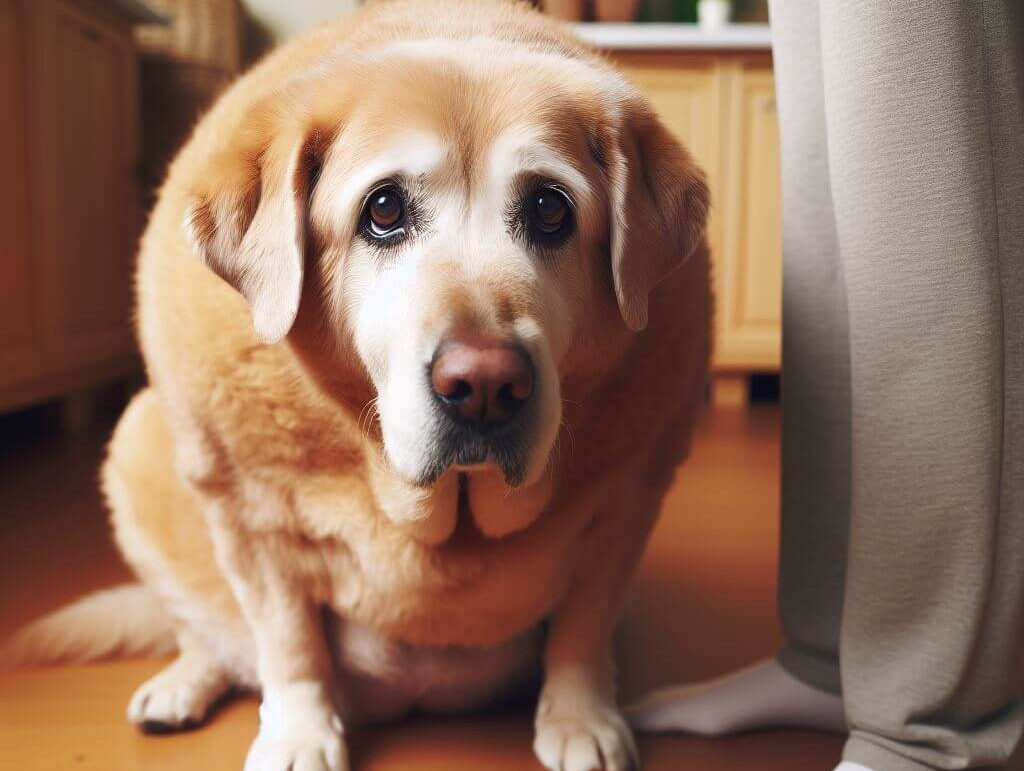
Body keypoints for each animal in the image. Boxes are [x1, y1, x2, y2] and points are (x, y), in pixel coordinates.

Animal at [6, 3, 712, 765]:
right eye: (384, 211)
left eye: (552, 210)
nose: (485, 383)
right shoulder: (250, 521)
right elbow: (290, 646)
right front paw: (298, 735)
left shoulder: (624, 505)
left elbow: (583, 626)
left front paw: (581, 719)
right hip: (139, 446)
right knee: (207, 631)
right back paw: (182, 683)